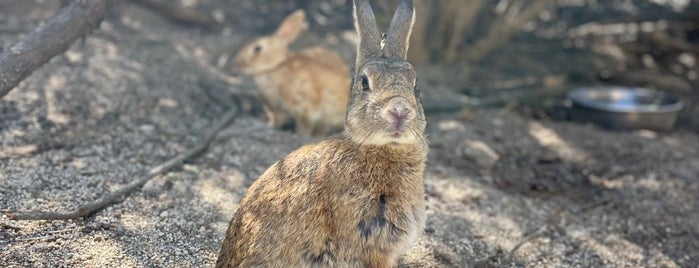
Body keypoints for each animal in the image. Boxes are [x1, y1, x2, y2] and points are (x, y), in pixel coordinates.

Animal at [234, 8, 352, 136]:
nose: (238, 63)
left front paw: (300, 134)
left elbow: (304, 125)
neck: (276, 66)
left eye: (257, 48)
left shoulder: (303, 106)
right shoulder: (276, 107)